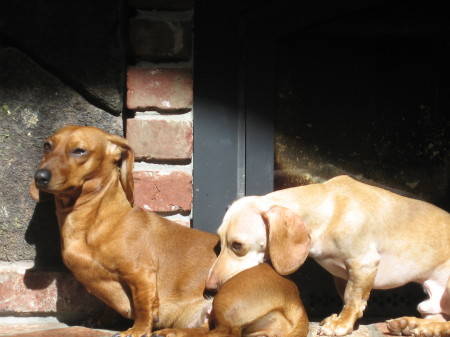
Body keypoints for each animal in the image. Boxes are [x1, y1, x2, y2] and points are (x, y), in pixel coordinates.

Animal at [206, 176, 450, 336]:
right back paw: (412, 325)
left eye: (237, 245)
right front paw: (339, 319)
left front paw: (341, 325)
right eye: (220, 241)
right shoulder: (341, 275)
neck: (330, 207)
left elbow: (353, 299)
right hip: (429, 305)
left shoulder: (364, 264)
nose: (208, 288)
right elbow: (346, 296)